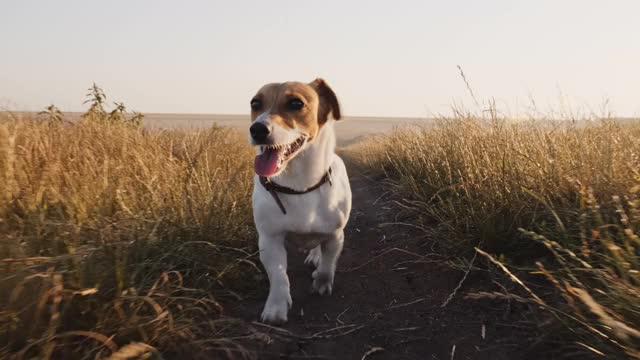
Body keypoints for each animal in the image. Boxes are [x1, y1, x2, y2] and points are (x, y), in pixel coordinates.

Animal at [249, 78, 350, 324]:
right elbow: (279, 276)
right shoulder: (270, 240)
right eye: (255, 103)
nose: (257, 129)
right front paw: (276, 308)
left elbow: (327, 265)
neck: (300, 187)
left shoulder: (335, 236)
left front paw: (321, 282)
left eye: (296, 103)